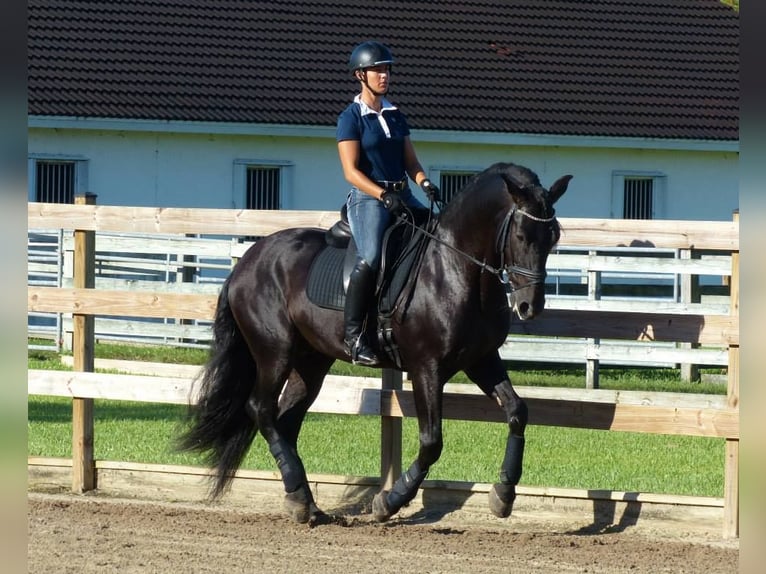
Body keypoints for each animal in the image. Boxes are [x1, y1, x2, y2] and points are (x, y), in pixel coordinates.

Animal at [177, 162, 571, 524]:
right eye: (521, 235)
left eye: (553, 235)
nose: (530, 306)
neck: (455, 269)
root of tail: (247, 261)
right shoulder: (426, 368)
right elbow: (432, 441)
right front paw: (390, 502)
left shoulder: (482, 360)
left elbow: (517, 412)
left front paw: (503, 494)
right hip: (275, 352)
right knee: (261, 409)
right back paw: (301, 497)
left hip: (311, 360)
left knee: (286, 420)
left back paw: (302, 500)